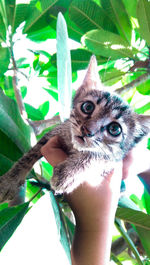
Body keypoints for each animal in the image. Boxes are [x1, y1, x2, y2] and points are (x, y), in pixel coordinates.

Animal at [0, 55, 150, 200]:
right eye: (88, 107)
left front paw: (67, 174)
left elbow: (96, 156)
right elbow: (28, 156)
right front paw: (10, 180)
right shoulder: (55, 132)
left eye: (114, 129)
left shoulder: (113, 160)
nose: (87, 130)